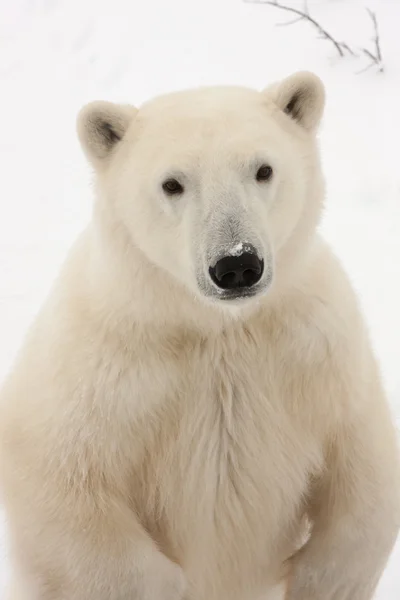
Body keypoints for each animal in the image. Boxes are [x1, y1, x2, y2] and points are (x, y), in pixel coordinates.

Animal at [0, 71, 400, 600]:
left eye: (263, 169)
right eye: (172, 183)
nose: (237, 265)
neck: (216, 326)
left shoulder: (315, 352)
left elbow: (363, 464)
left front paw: (323, 580)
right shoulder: (102, 370)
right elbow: (64, 486)